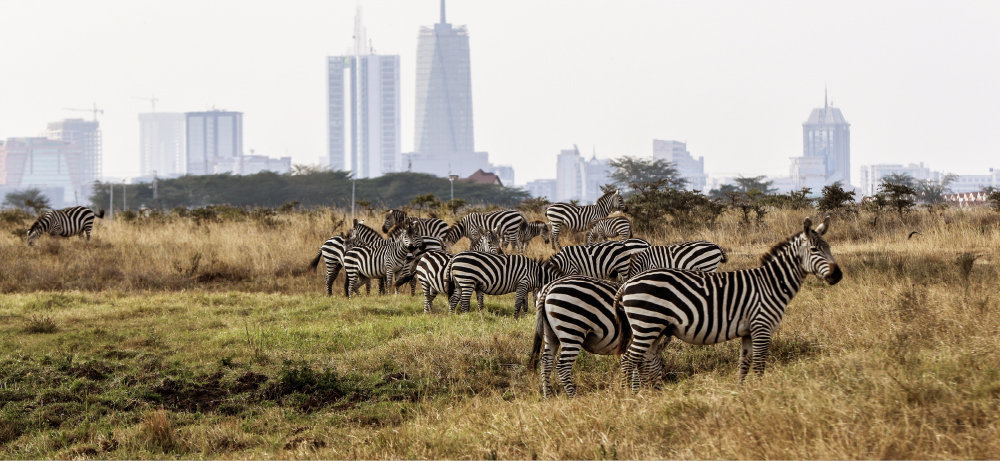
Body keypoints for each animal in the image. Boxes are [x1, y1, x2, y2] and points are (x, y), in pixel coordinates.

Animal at [528, 274, 668, 398]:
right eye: (663, 366)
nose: (659, 393)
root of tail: (550, 286)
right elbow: (636, 366)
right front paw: (636, 393)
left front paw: (635, 392)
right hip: (572, 328)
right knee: (563, 367)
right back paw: (574, 398)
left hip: (550, 334)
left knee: (545, 362)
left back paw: (547, 397)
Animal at [616, 217, 844, 388]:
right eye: (814, 250)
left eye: (829, 247)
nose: (838, 275)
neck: (771, 284)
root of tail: (626, 284)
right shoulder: (762, 327)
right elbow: (759, 366)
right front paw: (761, 395)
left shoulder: (748, 332)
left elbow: (744, 365)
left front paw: (742, 394)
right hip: (647, 324)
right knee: (628, 360)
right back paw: (629, 397)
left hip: (654, 328)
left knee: (643, 360)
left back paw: (647, 395)